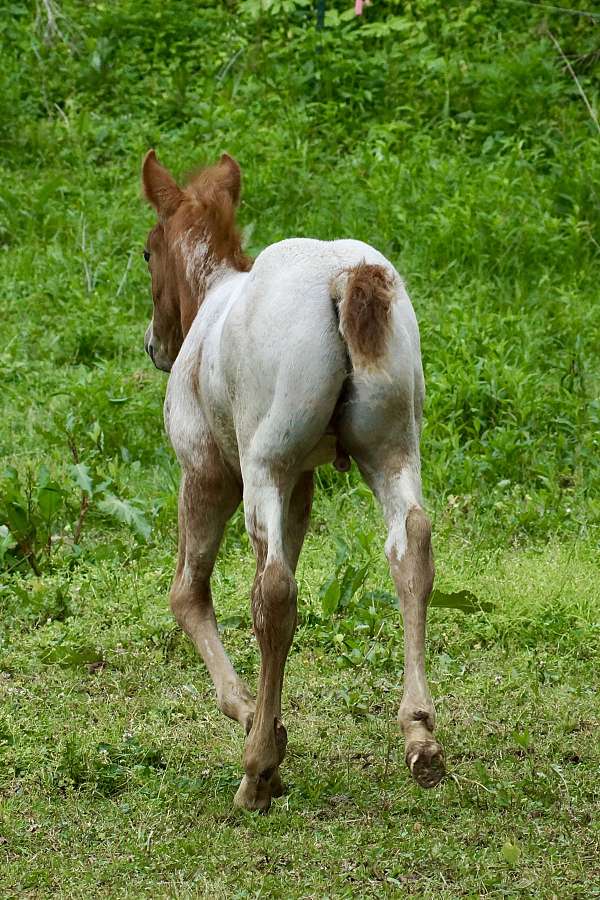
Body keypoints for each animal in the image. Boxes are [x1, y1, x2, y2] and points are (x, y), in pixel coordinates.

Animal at [140, 149, 445, 811]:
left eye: (147, 252)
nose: (153, 345)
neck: (213, 298)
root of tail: (346, 276)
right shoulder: (302, 482)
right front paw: (270, 722)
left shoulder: (207, 470)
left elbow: (188, 593)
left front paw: (257, 723)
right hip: (392, 449)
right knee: (411, 548)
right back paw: (421, 738)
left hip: (264, 467)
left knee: (274, 593)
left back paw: (254, 773)